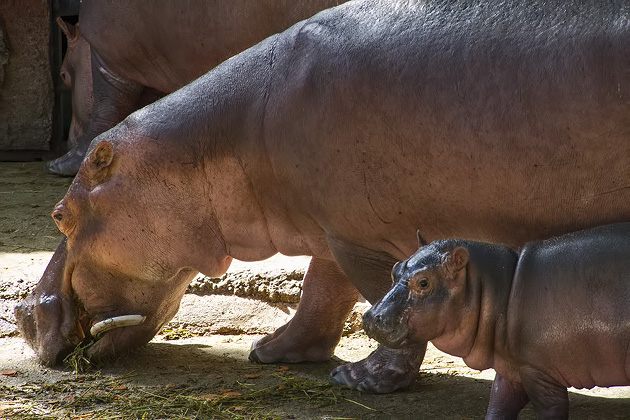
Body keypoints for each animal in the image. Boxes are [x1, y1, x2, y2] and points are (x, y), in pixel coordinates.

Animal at [366, 223, 630, 416]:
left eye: (423, 282)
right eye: (395, 267)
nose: (370, 317)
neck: (500, 287)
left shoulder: (539, 372)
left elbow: (550, 408)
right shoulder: (510, 368)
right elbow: (498, 405)